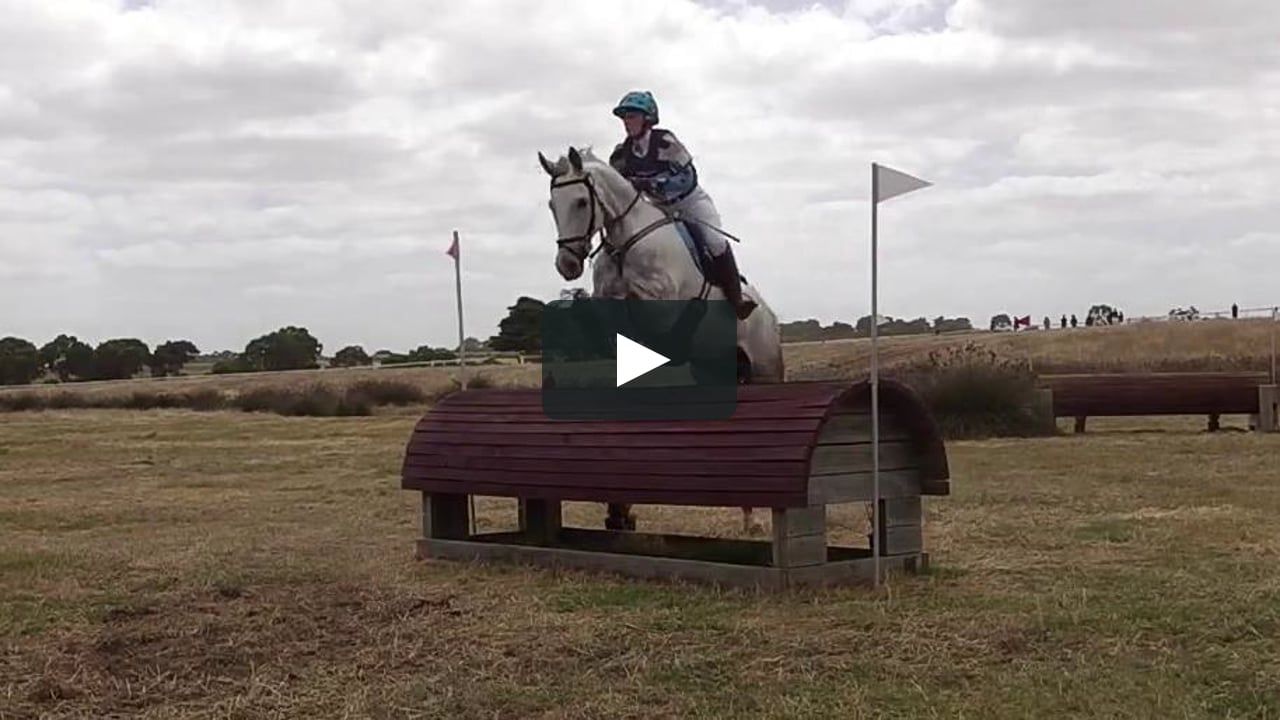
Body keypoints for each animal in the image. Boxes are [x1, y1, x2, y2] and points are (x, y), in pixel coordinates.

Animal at [535, 144, 783, 532]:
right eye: (551, 205)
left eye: (580, 202)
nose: (568, 265)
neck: (625, 241)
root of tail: (771, 318)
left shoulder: (661, 301)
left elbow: (644, 307)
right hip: (713, 372)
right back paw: (748, 517)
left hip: (765, 370)